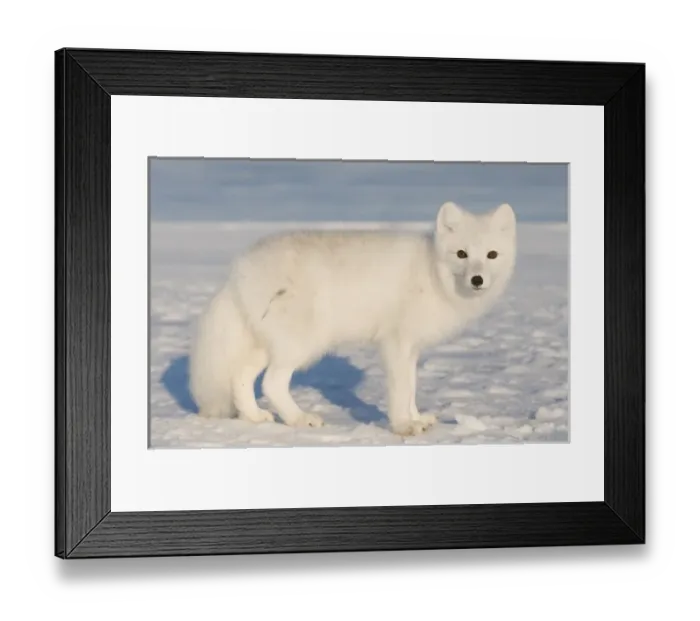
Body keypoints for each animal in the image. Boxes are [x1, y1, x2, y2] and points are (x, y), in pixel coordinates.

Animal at [189, 201, 517, 436]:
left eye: (491, 255)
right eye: (461, 253)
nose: (477, 280)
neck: (432, 274)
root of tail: (239, 269)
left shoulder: (411, 348)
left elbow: (411, 387)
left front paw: (417, 418)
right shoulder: (395, 343)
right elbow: (401, 390)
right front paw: (403, 426)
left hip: (268, 342)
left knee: (240, 377)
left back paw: (255, 417)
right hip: (303, 343)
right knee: (272, 382)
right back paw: (300, 419)